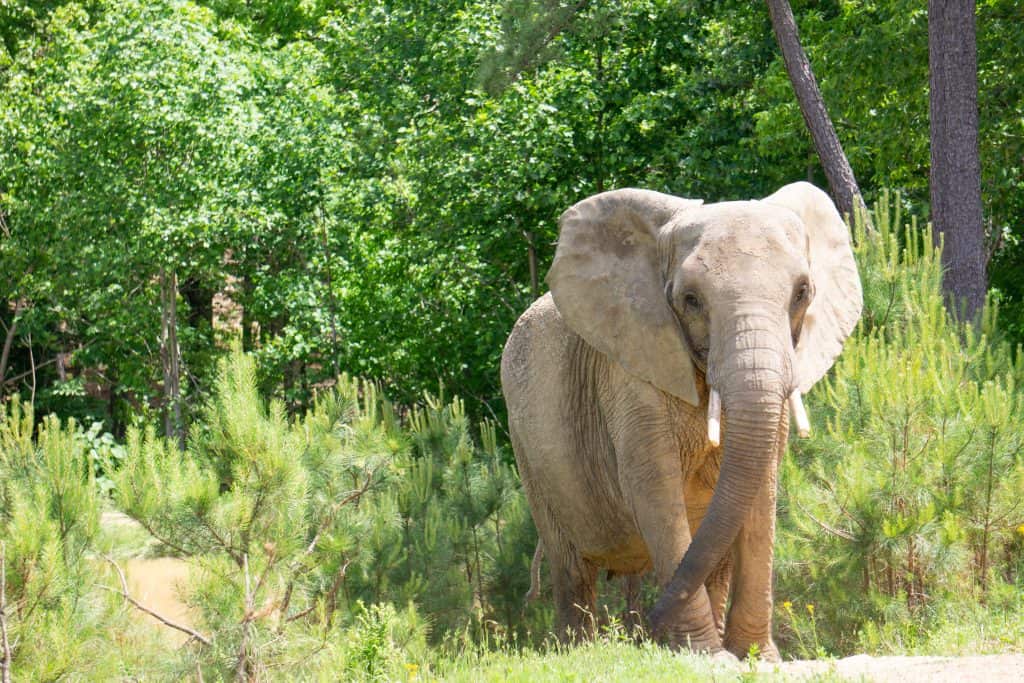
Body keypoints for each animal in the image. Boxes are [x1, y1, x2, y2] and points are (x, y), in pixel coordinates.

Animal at [500, 182, 862, 659]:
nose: (647, 631)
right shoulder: (631, 367)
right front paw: (706, 655)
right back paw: (579, 650)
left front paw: (755, 657)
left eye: (802, 292)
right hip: (529, 450)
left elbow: (762, 489)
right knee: (572, 567)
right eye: (691, 300)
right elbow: (653, 484)